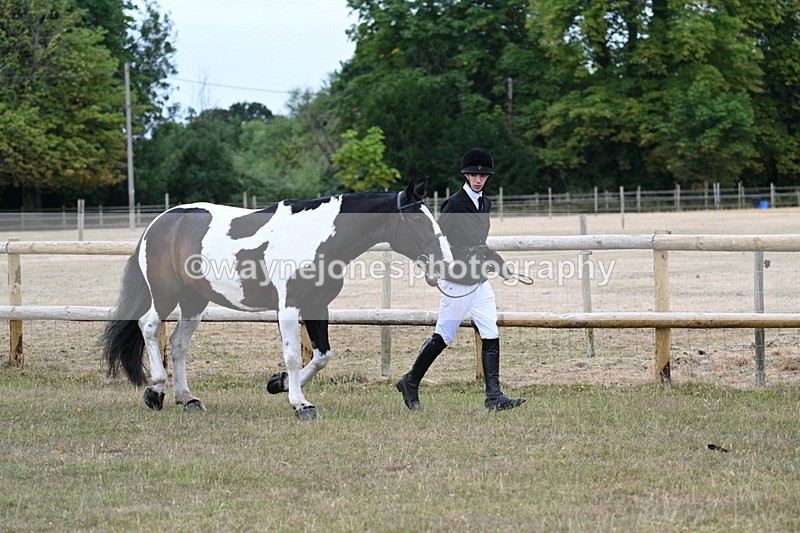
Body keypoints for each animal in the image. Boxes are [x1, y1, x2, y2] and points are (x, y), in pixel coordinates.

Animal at [101, 178, 452, 420]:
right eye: (418, 219)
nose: (446, 262)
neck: (313, 236)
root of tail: (159, 223)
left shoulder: (317, 306)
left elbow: (322, 355)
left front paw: (278, 383)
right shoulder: (289, 307)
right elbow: (294, 355)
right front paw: (301, 404)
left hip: (193, 302)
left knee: (177, 345)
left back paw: (187, 398)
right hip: (165, 294)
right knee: (148, 327)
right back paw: (155, 391)